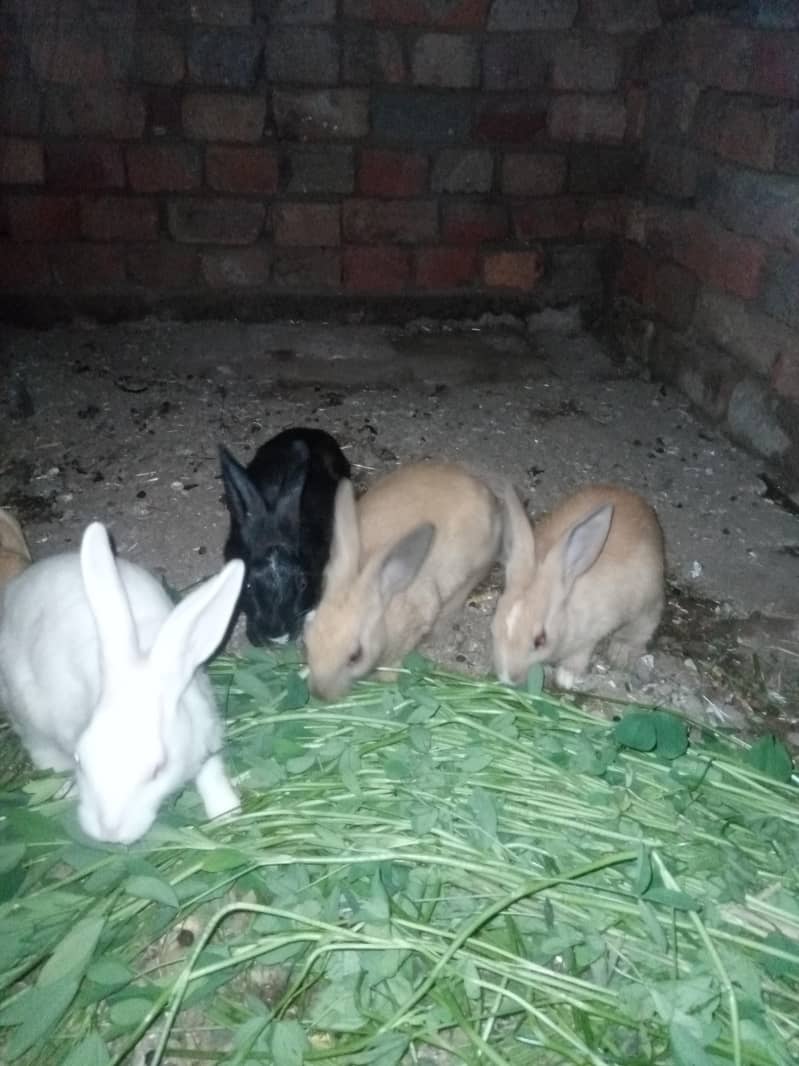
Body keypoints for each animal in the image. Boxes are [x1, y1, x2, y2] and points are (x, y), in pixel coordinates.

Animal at [0, 521, 244, 845]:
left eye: (157, 770)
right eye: (80, 759)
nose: (109, 832)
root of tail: (15, 588)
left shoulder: (206, 734)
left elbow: (211, 774)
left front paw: (227, 814)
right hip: (25, 712)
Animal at [304, 461, 503, 701]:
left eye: (355, 656)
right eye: (308, 641)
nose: (319, 694)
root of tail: (488, 495)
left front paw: (386, 680)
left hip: (473, 572)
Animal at [492, 483, 665, 690]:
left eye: (540, 640)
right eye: (494, 624)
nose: (506, 678)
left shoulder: (590, 634)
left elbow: (579, 656)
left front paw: (566, 677)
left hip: (647, 598)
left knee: (647, 622)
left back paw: (621, 651)